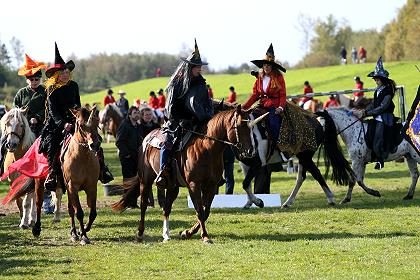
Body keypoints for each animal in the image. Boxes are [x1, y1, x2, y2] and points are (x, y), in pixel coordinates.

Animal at [112, 105, 256, 243]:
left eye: (250, 127)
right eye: (240, 125)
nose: (250, 151)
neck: (207, 148)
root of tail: (147, 138)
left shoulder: (211, 186)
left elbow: (206, 211)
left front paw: (187, 233)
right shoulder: (194, 185)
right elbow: (200, 211)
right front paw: (204, 236)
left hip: (172, 186)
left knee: (166, 208)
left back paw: (166, 235)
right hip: (145, 180)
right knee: (143, 205)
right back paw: (140, 234)